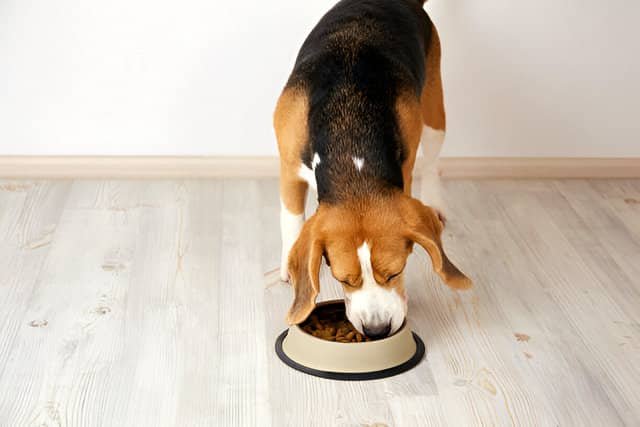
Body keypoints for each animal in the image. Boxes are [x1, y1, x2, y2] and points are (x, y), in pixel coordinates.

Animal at [274, 0, 470, 342]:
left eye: (395, 272)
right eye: (343, 279)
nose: (377, 330)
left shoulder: (404, 168)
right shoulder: (289, 165)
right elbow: (292, 220)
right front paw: (289, 265)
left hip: (434, 113)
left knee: (433, 162)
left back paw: (435, 201)